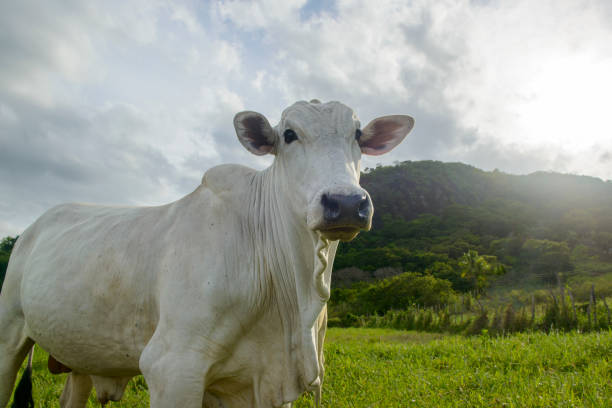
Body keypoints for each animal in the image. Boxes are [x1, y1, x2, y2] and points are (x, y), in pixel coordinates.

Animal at [0, 99, 414, 408]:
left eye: (357, 134)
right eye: (289, 135)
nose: (346, 204)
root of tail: (32, 229)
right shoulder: (172, 367)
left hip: (79, 357)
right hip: (8, 333)